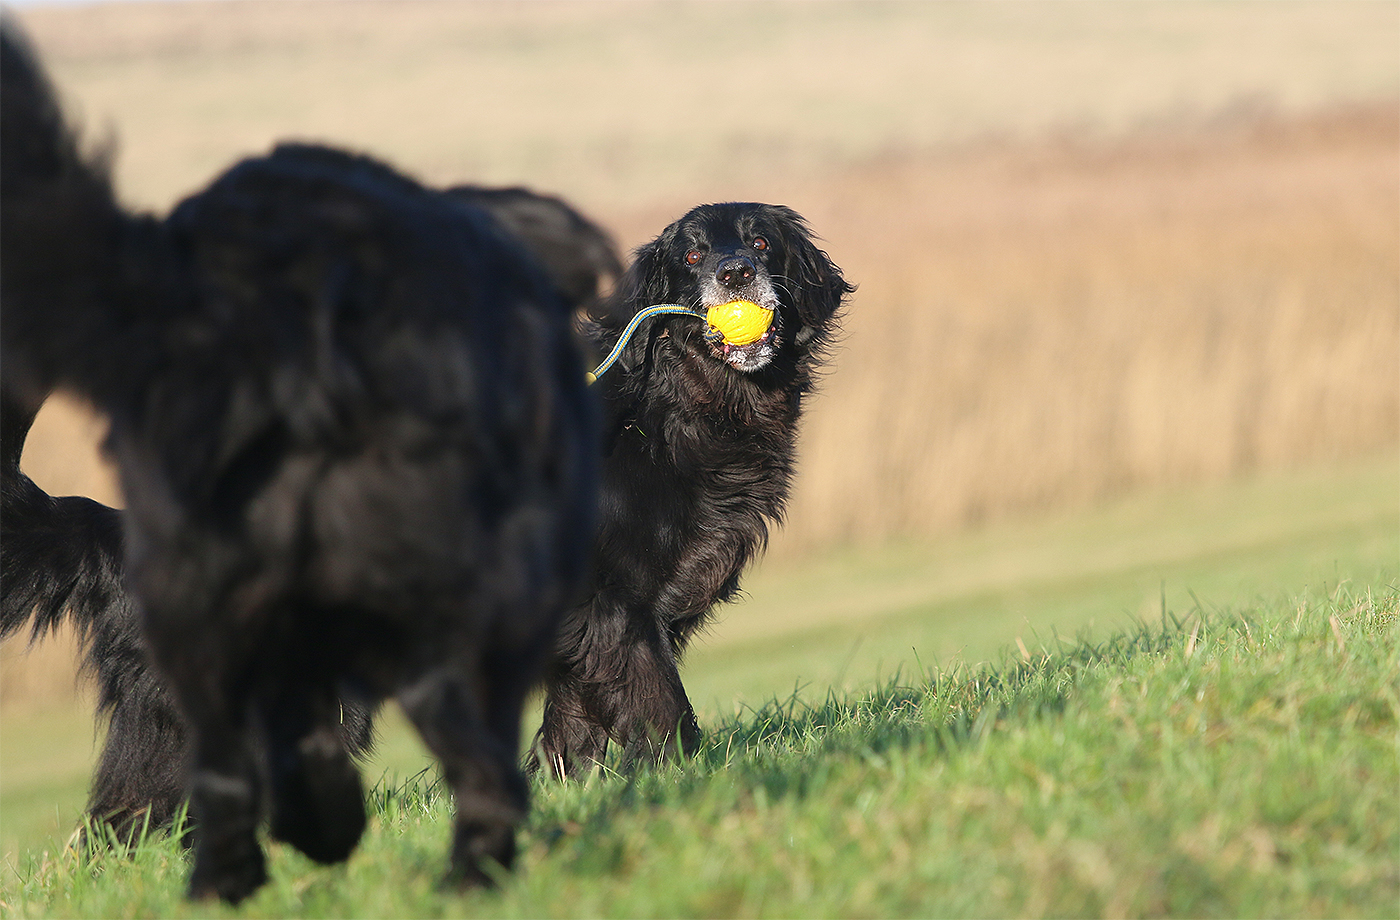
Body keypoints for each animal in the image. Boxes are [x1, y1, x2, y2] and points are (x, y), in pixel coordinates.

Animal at [533, 201, 853, 776]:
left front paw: (570, 781)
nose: (736, 273)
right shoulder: (611, 600)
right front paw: (678, 773)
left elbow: (573, 716)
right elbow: (658, 699)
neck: (669, 407)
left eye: (761, 243)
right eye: (692, 255)